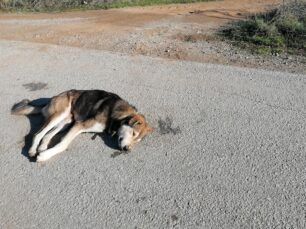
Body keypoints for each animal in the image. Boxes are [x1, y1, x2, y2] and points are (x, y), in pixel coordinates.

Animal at [11, 90, 153, 163]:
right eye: (133, 133)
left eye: (137, 141)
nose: (128, 149)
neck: (116, 113)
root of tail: (51, 99)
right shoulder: (80, 125)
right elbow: (63, 144)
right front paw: (44, 156)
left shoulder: (75, 124)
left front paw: (44, 153)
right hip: (60, 114)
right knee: (37, 133)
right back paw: (33, 150)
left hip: (67, 121)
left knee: (47, 135)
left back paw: (42, 147)